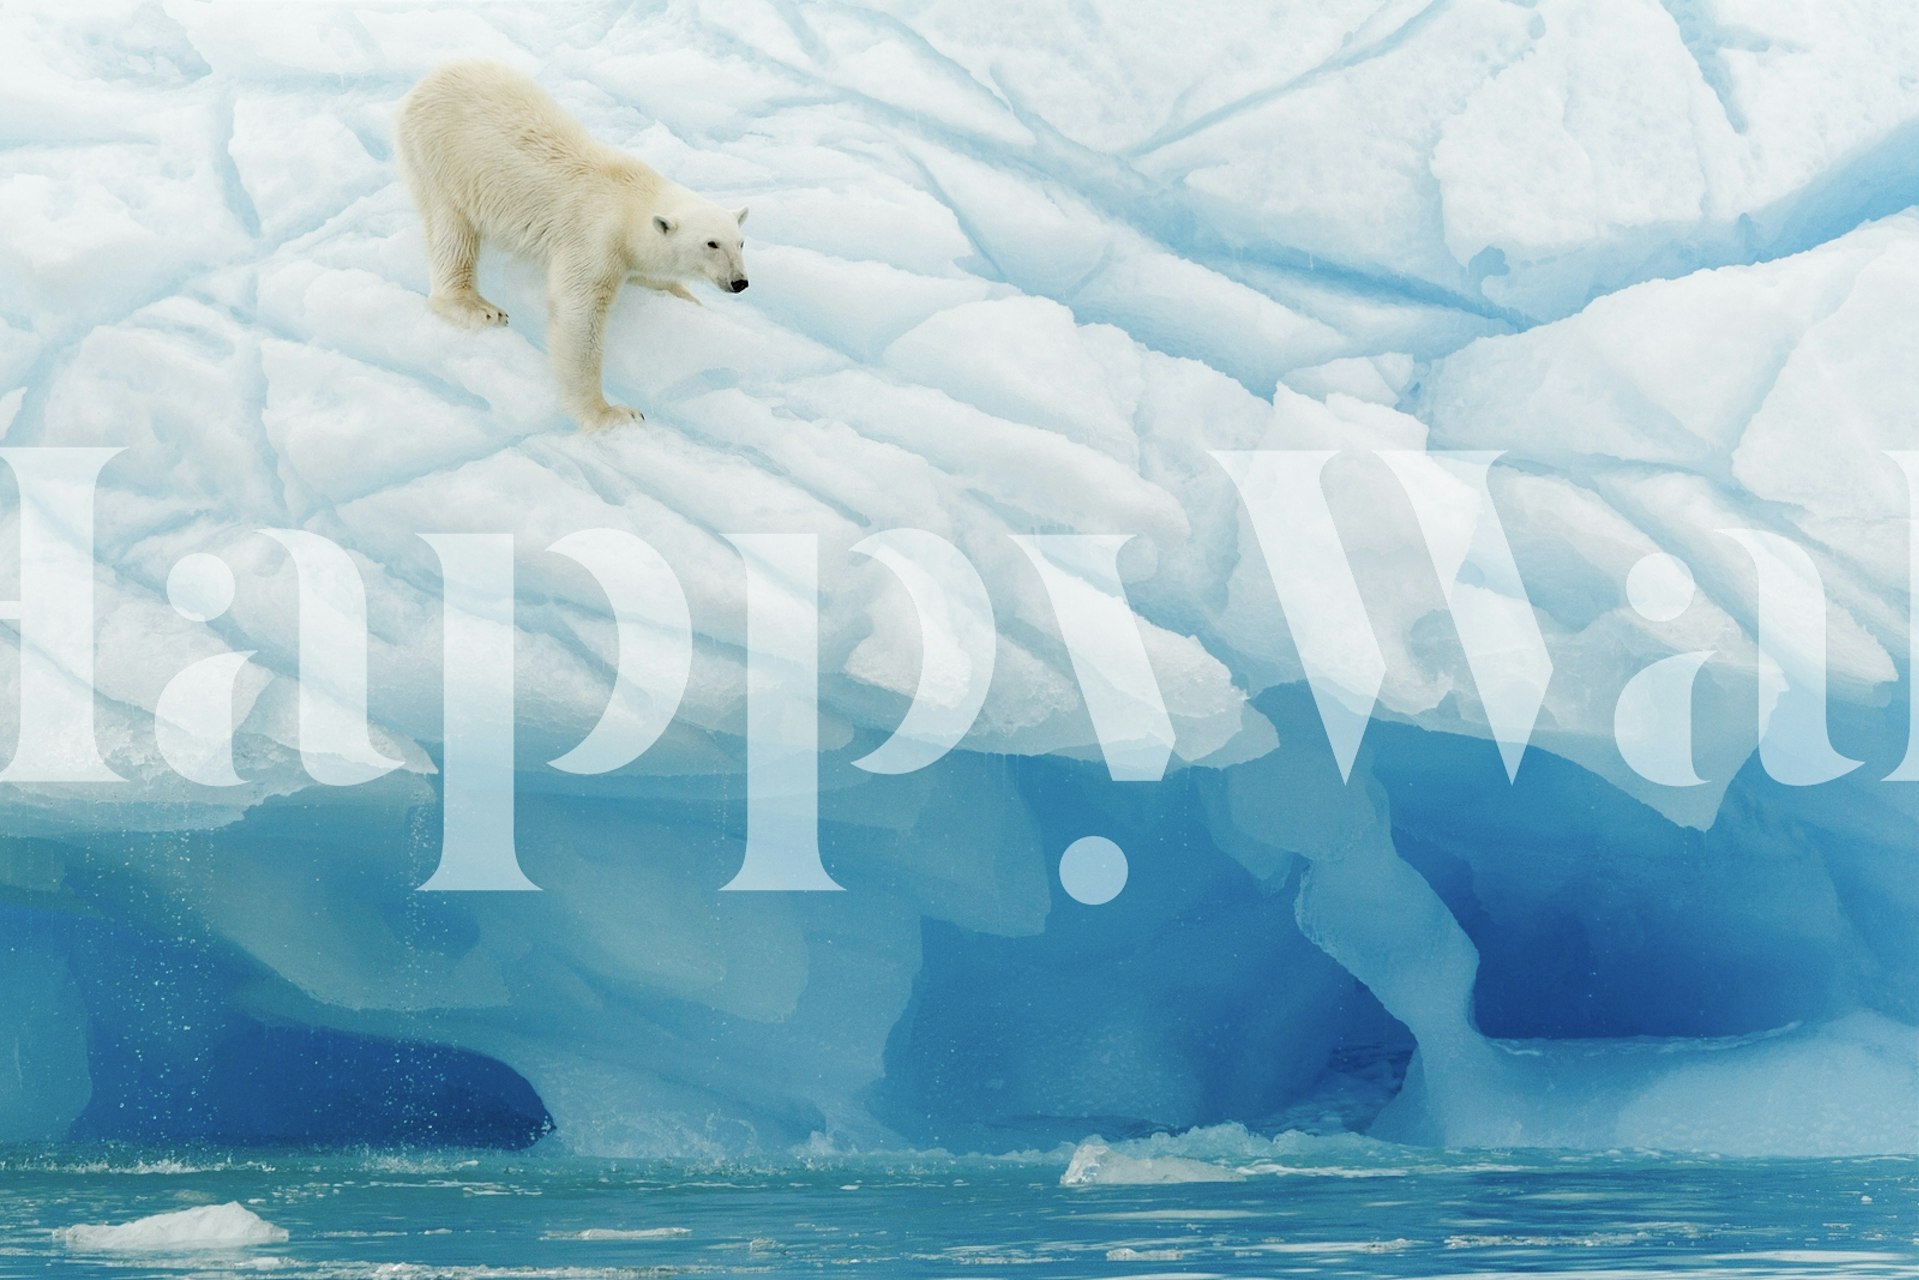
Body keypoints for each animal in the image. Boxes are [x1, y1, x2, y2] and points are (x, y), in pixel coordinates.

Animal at [394, 60, 749, 431]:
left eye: (741, 242)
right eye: (711, 243)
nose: (740, 282)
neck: (630, 197)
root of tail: (422, 85)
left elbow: (650, 274)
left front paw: (688, 298)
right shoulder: (594, 238)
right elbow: (579, 314)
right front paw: (612, 413)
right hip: (440, 158)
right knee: (452, 228)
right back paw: (479, 307)